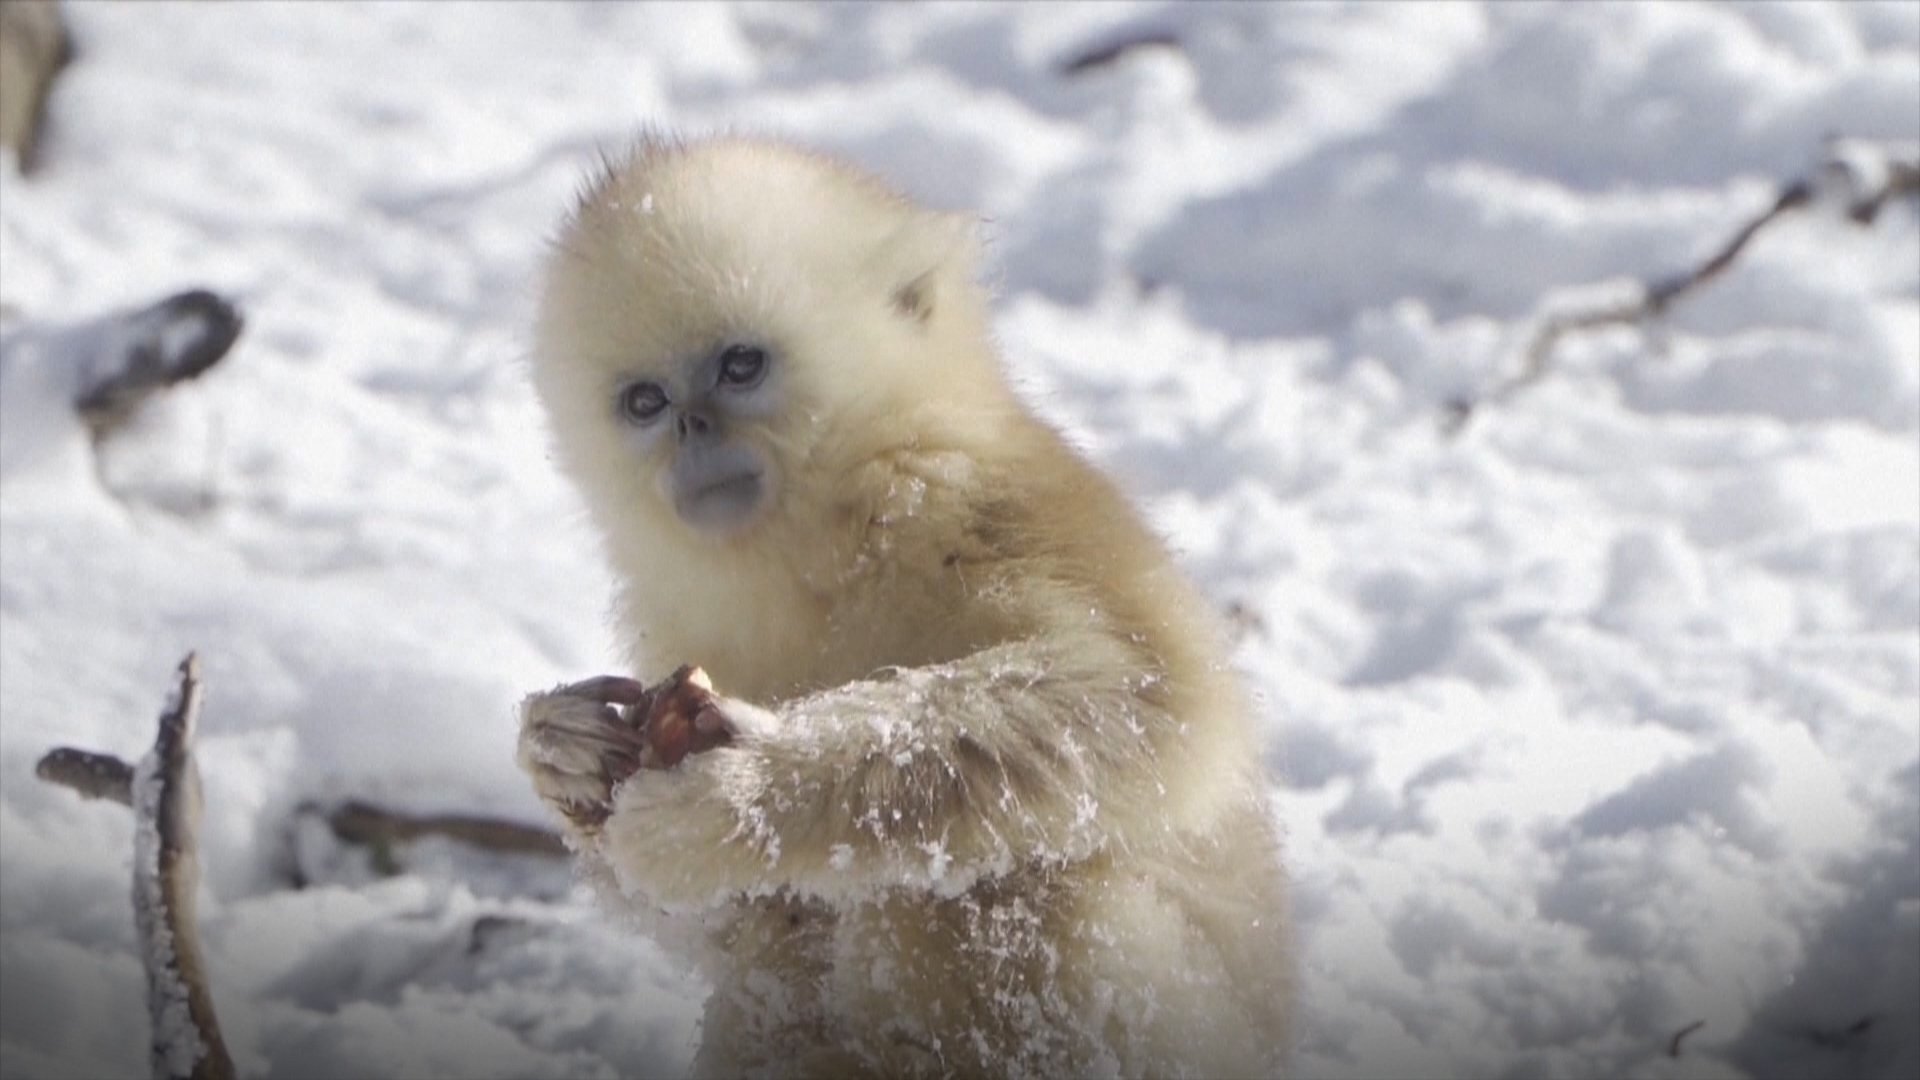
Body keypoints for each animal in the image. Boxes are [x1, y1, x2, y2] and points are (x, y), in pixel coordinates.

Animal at [516, 135, 1293, 1079]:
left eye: (740, 365)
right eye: (645, 402)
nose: (691, 431)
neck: (823, 538)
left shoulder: (973, 500)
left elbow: (1148, 696)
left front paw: (738, 796)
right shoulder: (676, 619)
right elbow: (718, 920)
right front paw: (566, 754)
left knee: (1002, 884)